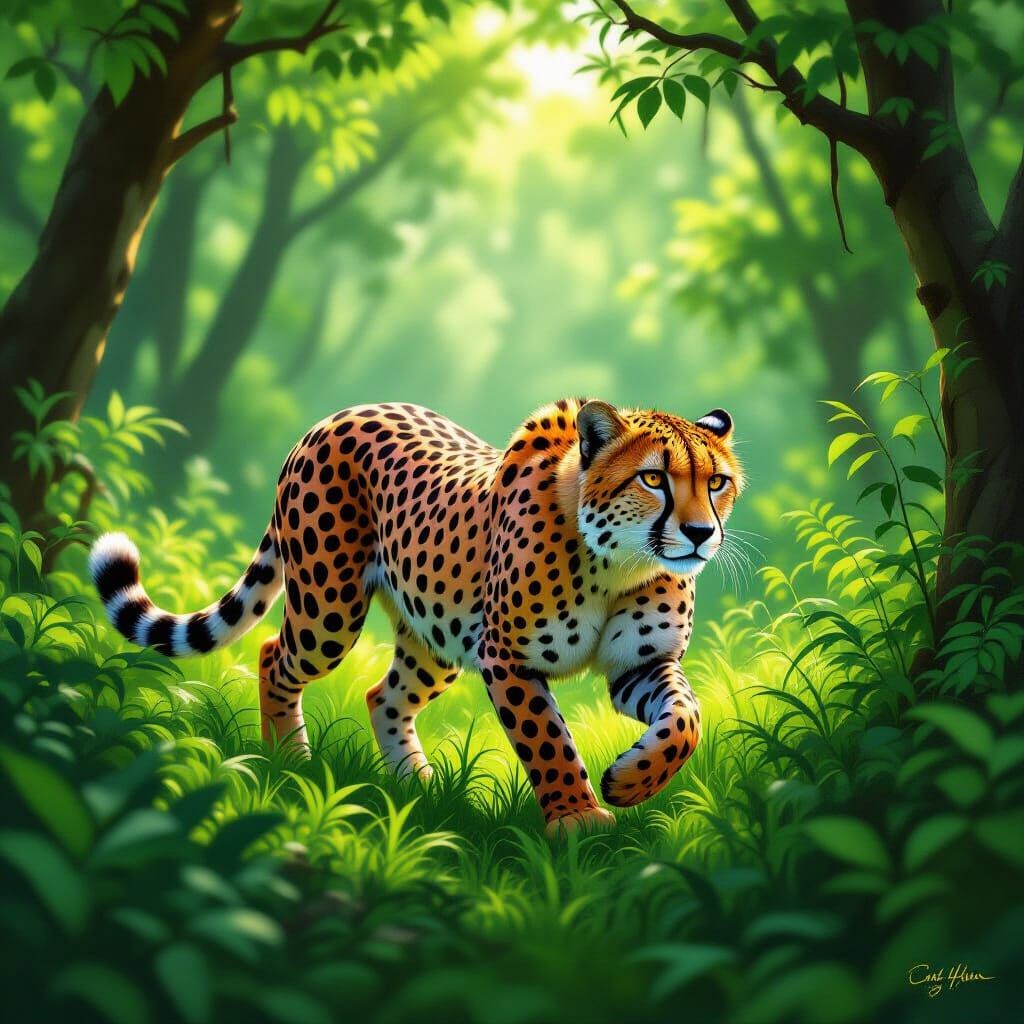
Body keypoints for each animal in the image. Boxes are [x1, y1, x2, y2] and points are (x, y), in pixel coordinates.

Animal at [91, 398, 743, 834]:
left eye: (717, 482)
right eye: (653, 478)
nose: (700, 533)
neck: (619, 564)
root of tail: (336, 414)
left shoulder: (642, 665)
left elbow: (685, 721)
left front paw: (631, 781)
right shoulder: (506, 657)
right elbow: (547, 739)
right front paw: (577, 817)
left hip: (435, 633)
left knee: (384, 694)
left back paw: (418, 788)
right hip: (329, 611)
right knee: (275, 656)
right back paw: (290, 764)